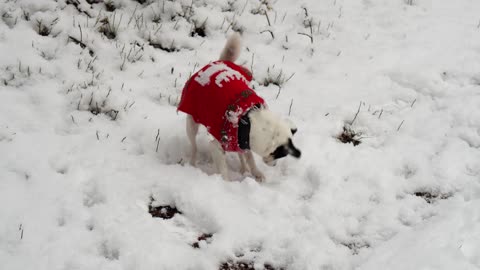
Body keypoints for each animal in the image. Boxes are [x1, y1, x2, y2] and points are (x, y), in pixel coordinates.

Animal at [178, 33, 302, 181]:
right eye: (280, 154)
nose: (274, 165)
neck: (249, 120)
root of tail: (220, 62)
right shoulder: (217, 147)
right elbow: (224, 170)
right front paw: (225, 183)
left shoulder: (242, 141)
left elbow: (250, 158)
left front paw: (256, 172)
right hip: (191, 122)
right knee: (194, 147)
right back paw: (192, 163)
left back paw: (244, 169)